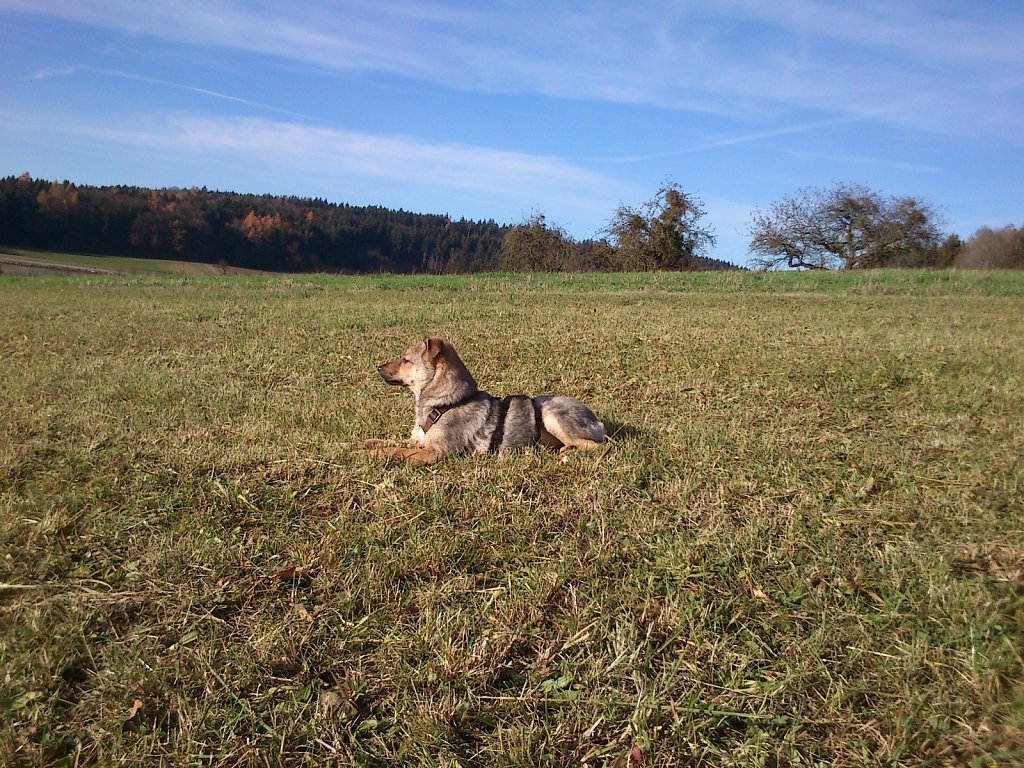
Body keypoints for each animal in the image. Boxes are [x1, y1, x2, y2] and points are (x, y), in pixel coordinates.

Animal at [368, 339, 606, 466]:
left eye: (406, 360)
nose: (378, 367)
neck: (445, 403)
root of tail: (597, 420)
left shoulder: (434, 452)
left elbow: (397, 450)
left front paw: (375, 454)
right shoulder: (417, 441)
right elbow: (387, 441)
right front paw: (365, 444)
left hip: (551, 413)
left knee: (596, 446)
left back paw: (566, 452)